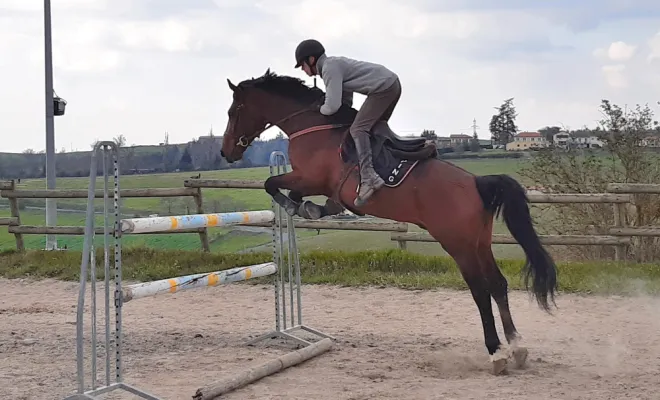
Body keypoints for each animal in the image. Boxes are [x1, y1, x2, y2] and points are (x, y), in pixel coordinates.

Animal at [219, 69, 558, 375]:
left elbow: (272, 184)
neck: (313, 126)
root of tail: (477, 182)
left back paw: (496, 353)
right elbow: (297, 193)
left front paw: (297, 207)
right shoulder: (314, 183)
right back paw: (517, 347)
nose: (226, 152)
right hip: (480, 242)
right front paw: (315, 209)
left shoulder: (309, 177)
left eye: (234, 111)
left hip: (458, 244)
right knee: (498, 285)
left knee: (480, 290)